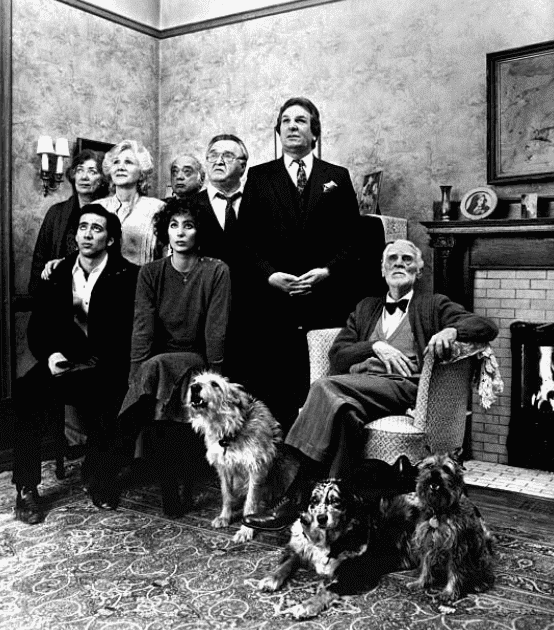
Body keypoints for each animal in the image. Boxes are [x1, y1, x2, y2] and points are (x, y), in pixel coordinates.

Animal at [187, 372, 288, 544]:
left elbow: (250, 502)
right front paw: (224, 517)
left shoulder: (256, 468)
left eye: (215, 384)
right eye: (195, 381)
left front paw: (246, 530)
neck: (229, 430)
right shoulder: (224, 468)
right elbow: (226, 495)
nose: (194, 387)